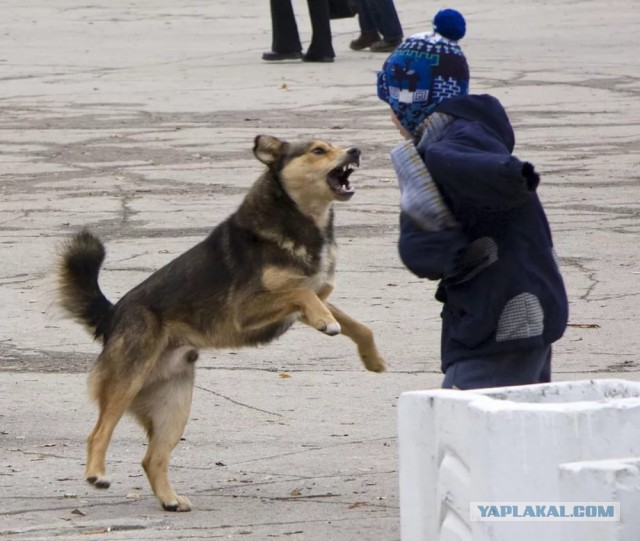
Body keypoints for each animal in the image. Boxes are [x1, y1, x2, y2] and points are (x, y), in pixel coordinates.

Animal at [56, 134, 384, 510]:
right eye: (318, 150)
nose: (355, 150)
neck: (299, 219)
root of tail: (113, 316)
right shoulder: (247, 309)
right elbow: (303, 294)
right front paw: (327, 323)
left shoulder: (314, 297)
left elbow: (357, 324)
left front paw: (372, 358)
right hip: (127, 380)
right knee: (98, 432)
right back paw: (97, 474)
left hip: (174, 404)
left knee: (152, 458)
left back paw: (170, 499)